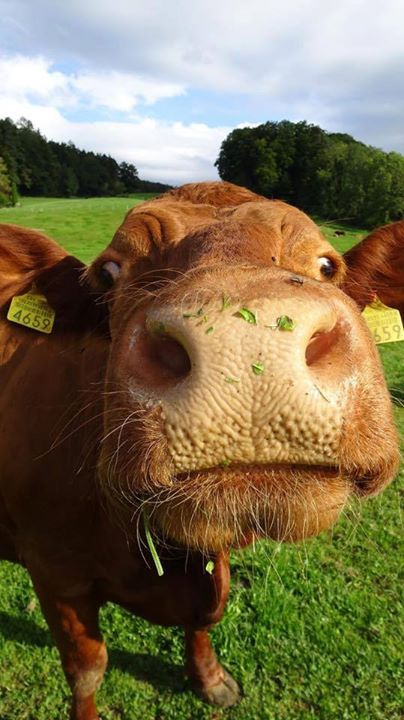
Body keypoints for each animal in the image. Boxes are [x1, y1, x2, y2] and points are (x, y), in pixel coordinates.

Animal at [0, 184, 400, 720]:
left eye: (327, 265)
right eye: (109, 272)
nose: (248, 342)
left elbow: (207, 616)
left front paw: (210, 678)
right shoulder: (54, 572)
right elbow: (87, 669)